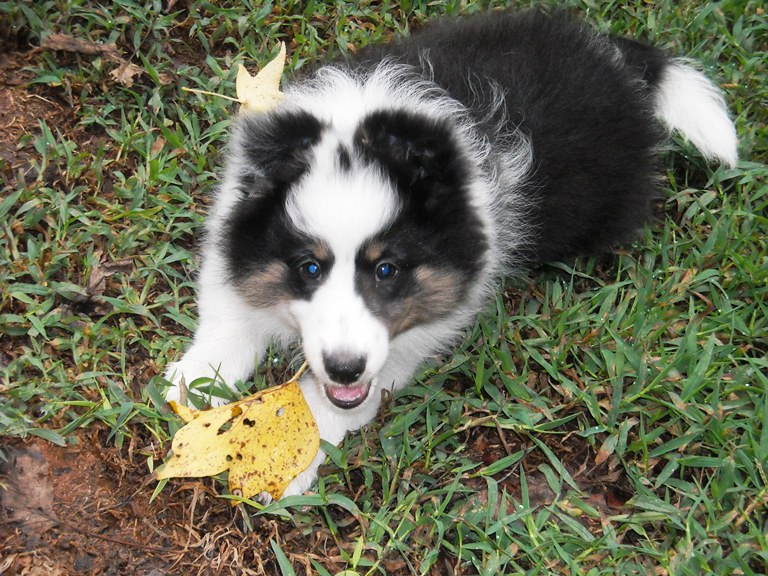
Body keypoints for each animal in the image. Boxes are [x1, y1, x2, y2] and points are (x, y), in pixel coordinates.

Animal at [164, 7, 736, 496]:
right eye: (309, 267)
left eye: (387, 269)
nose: (345, 369)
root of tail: (612, 59)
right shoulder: (235, 226)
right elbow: (228, 312)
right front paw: (192, 379)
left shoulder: (412, 336)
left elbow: (330, 399)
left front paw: (289, 454)